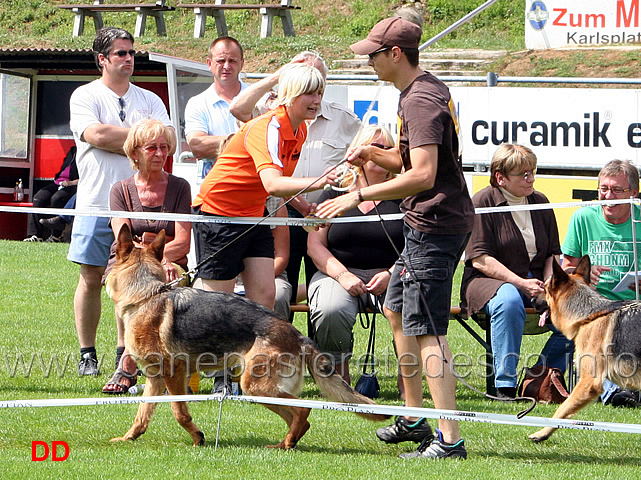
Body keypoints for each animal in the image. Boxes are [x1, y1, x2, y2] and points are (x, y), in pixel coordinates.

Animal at [108, 226, 388, 450]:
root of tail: (297, 335)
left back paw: (286, 444)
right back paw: (286, 443)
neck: (146, 294)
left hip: (256, 385)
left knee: (304, 408)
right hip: (262, 389)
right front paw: (129, 438)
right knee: (299, 418)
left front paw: (198, 437)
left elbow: (180, 412)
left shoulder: (173, 373)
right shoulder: (155, 377)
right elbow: (142, 414)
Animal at [528, 255, 640, 442]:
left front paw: (543, 432)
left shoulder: (588, 382)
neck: (587, 316)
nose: (530, 300)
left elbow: (561, 409)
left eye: (544, 287)